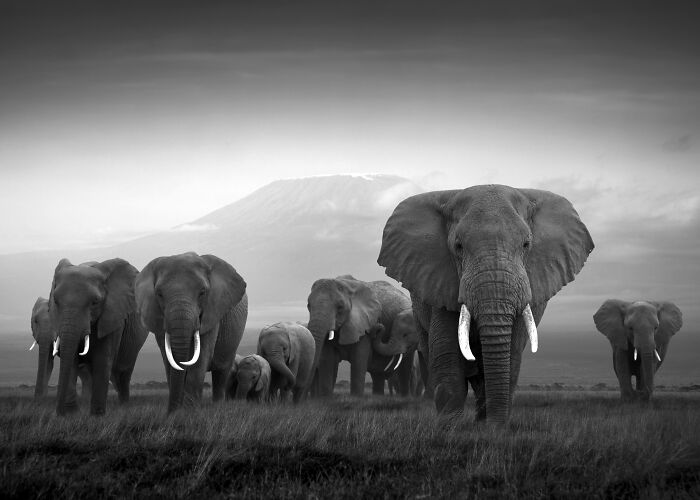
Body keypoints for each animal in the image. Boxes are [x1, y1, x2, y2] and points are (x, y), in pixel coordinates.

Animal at [49, 258, 149, 416]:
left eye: (95, 302)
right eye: (56, 301)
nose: (58, 413)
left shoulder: (112, 316)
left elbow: (102, 360)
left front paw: (96, 416)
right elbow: (71, 360)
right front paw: (72, 415)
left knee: (123, 373)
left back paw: (124, 407)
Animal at [135, 252, 248, 412]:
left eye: (202, 292)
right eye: (159, 294)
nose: (170, 412)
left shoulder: (212, 312)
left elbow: (201, 358)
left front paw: (189, 412)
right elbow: (168, 359)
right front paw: (178, 412)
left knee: (221, 371)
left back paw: (218, 407)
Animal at [377, 184, 594, 423]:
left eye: (526, 244)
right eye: (458, 246)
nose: (496, 426)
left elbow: (511, 359)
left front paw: (490, 428)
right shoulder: (441, 281)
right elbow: (448, 356)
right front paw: (451, 427)